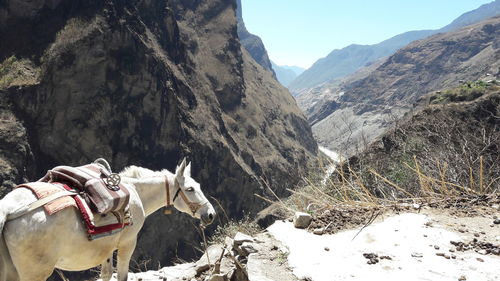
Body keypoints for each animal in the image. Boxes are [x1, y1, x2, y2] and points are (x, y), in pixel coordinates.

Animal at [0, 159, 215, 278]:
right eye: (190, 189)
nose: (210, 214)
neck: (135, 191)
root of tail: (9, 209)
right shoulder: (128, 242)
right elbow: (121, 275)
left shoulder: (106, 247)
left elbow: (106, 274)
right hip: (35, 271)